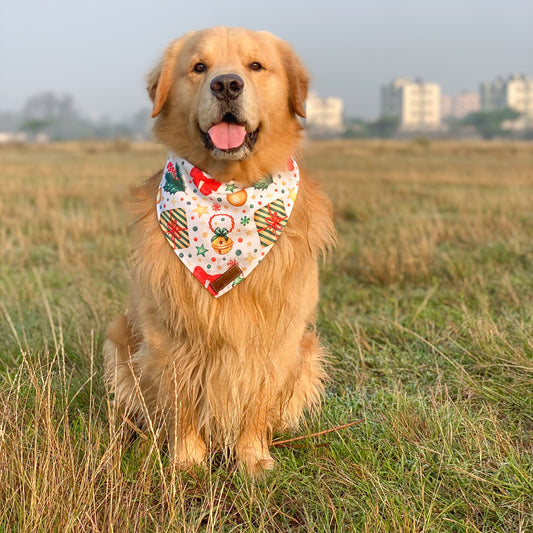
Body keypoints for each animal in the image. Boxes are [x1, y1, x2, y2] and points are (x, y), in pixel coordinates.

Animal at [103, 26, 332, 474]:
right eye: (199, 67)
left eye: (256, 65)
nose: (226, 84)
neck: (228, 188)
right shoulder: (168, 335)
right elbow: (181, 403)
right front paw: (186, 461)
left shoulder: (278, 336)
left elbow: (257, 401)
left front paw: (253, 459)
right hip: (120, 339)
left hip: (308, 350)